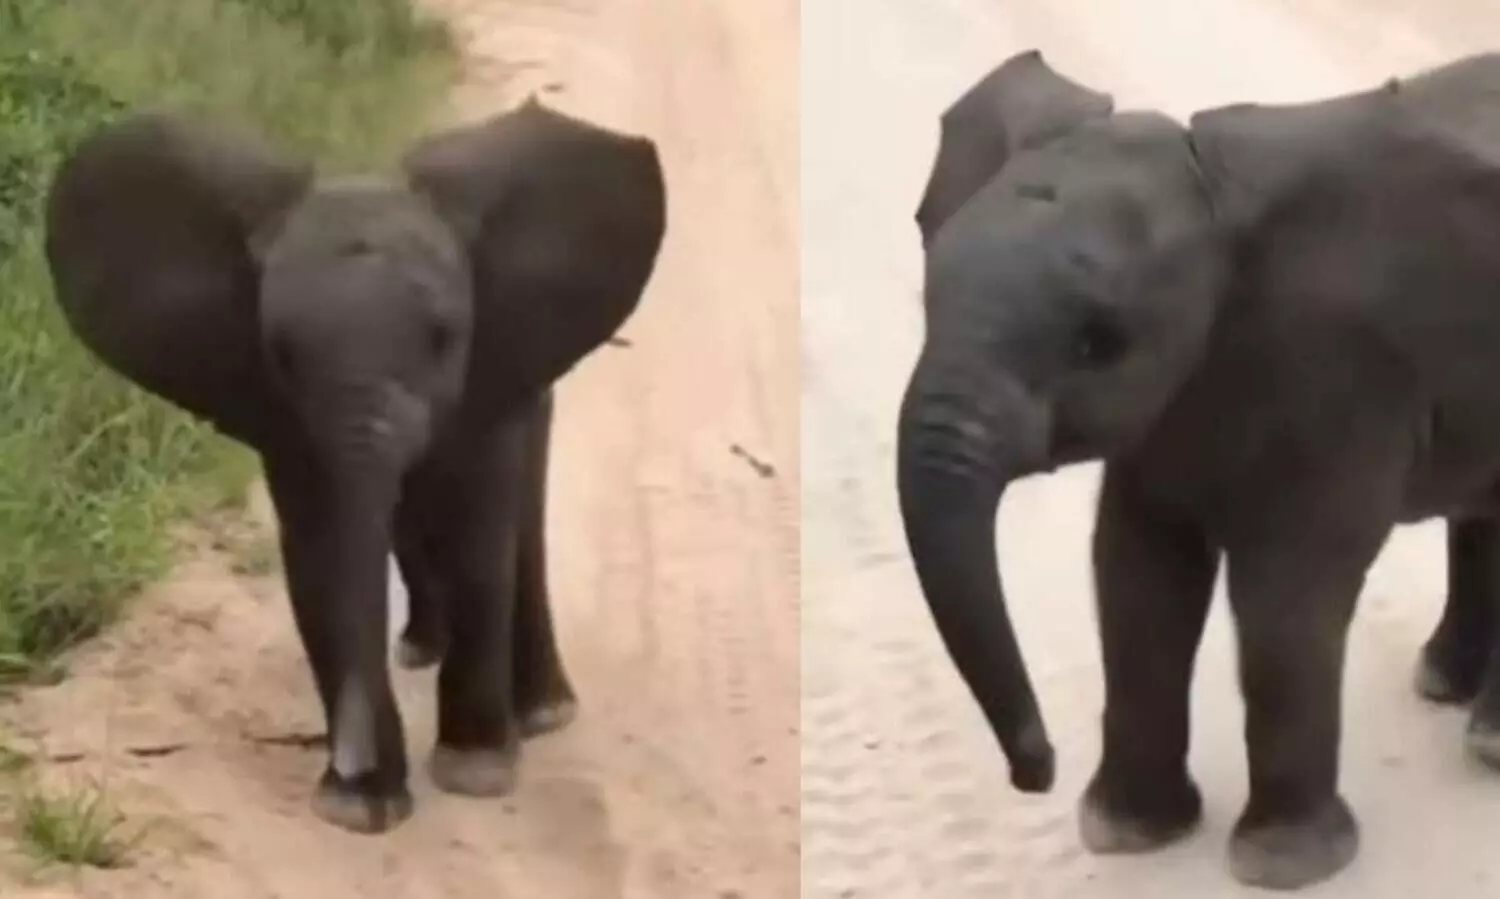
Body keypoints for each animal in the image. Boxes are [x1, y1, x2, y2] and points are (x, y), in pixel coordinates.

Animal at [43, 99, 667, 834]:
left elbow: (476, 534)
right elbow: (323, 547)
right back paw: (420, 649)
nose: (348, 760)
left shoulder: (489, 370)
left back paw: (543, 713)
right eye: (281, 351)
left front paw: (476, 773)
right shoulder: (284, 414)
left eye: (444, 338)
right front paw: (361, 805)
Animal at [899, 49, 1500, 890]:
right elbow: (1137, 570)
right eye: (928, 294)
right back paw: (1445, 685)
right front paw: (1129, 833)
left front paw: (1282, 864)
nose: (1035, 769)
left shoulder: (1342, 378)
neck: (1210, 195)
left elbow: (1284, 593)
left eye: (1097, 342)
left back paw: (1487, 741)